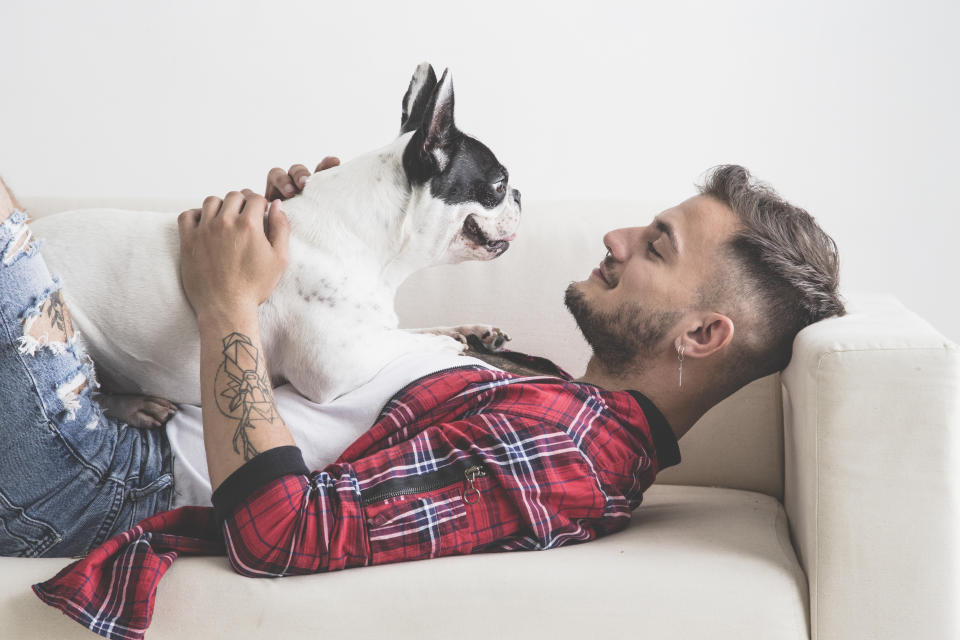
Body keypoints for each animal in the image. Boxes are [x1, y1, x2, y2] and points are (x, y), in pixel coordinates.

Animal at [30, 63, 520, 420]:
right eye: (498, 184)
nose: (519, 194)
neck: (366, 238)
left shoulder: (371, 331)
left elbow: (418, 329)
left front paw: (468, 331)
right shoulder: (336, 364)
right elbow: (411, 343)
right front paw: (452, 346)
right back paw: (135, 406)